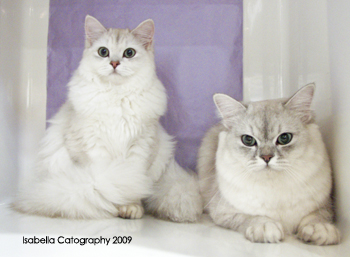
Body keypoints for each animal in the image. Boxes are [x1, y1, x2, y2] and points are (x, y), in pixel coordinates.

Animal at [13, 15, 202, 221]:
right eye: (103, 52)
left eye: (129, 53)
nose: (114, 63)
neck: (116, 96)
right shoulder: (93, 146)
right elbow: (111, 183)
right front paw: (114, 207)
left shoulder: (141, 147)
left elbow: (133, 184)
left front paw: (130, 208)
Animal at [198, 84, 340, 244]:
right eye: (248, 140)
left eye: (284, 138)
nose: (266, 157)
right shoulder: (224, 212)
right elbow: (252, 217)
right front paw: (266, 228)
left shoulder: (324, 205)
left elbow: (316, 217)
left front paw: (320, 230)